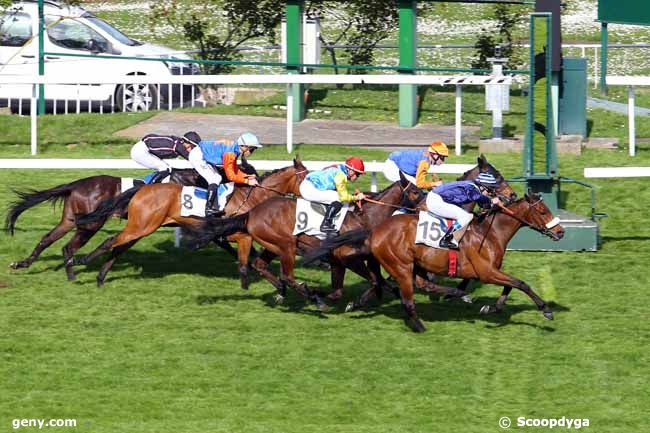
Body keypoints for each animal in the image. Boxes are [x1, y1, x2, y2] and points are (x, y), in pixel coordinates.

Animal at [73, 158, 306, 286]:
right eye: (307, 177)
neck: (252, 197)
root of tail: (142, 189)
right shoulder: (231, 233)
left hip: (141, 227)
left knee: (117, 245)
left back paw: (98, 275)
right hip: (141, 226)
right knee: (111, 241)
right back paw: (80, 261)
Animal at [314, 191, 560, 332]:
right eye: (542, 211)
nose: (561, 231)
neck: (489, 233)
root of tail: (374, 231)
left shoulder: (489, 271)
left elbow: (510, 286)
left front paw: (492, 307)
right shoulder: (486, 272)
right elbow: (520, 283)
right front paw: (546, 310)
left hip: (414, 264)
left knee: (407, 284)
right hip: (402, 266)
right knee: (408, 298)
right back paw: (421, 325)